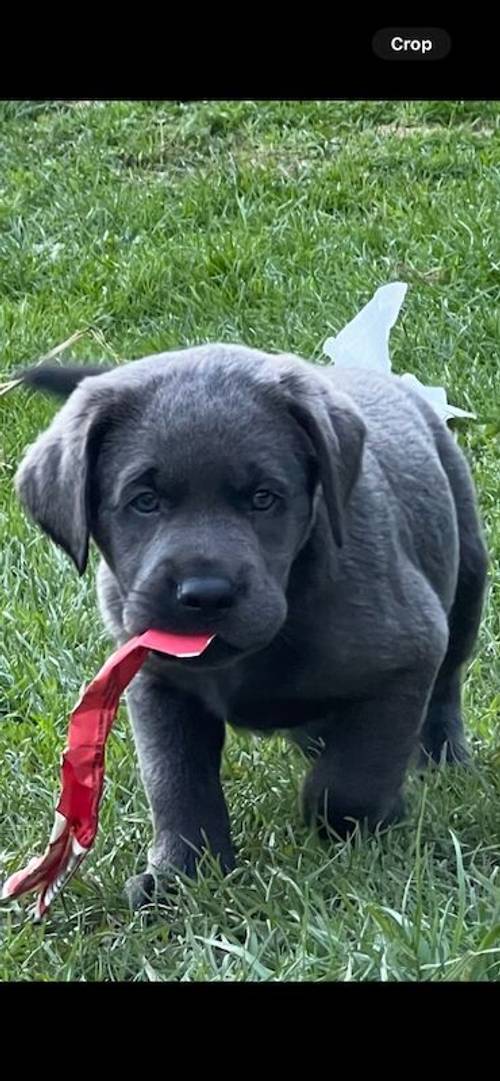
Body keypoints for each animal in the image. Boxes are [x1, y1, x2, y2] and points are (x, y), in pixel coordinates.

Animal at [16, 345, 490, 903]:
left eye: (264, 498)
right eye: (145, 502)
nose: (205, 595)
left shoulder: (407, 658)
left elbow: (351, 780)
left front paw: (366, 825)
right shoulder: (159, 685)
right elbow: (178, 784)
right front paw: (181, 874)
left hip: (466, 580)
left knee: (445, 690)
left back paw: (443, 762)